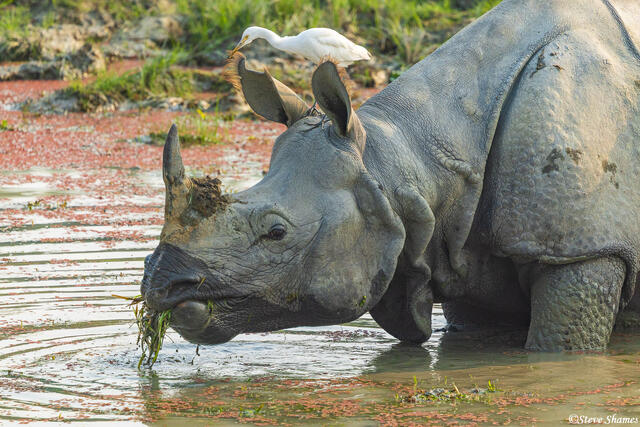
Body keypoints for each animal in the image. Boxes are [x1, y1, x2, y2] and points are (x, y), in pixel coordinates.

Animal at [141, 0, 640, 351]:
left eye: (277, 232)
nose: (161, 285)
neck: (409, 155)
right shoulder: (461, 247)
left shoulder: (582, 249)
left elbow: (557, 350)